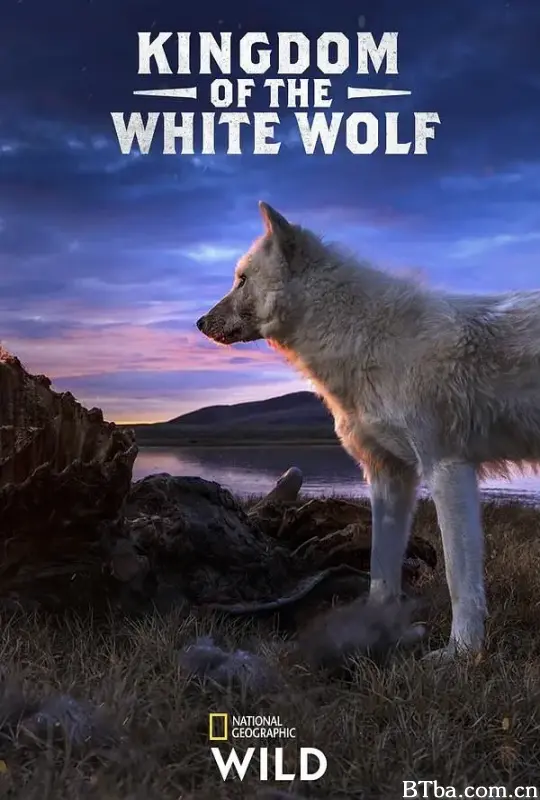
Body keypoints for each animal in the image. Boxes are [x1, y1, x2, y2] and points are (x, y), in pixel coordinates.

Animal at [197, 201, 540, 660]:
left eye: (242, 279)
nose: (200, 323)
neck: (362, 339)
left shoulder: (447, 469)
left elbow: (458, 578)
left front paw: (460, 654)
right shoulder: (388, 476)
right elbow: (380, 567)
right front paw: (372, 629)